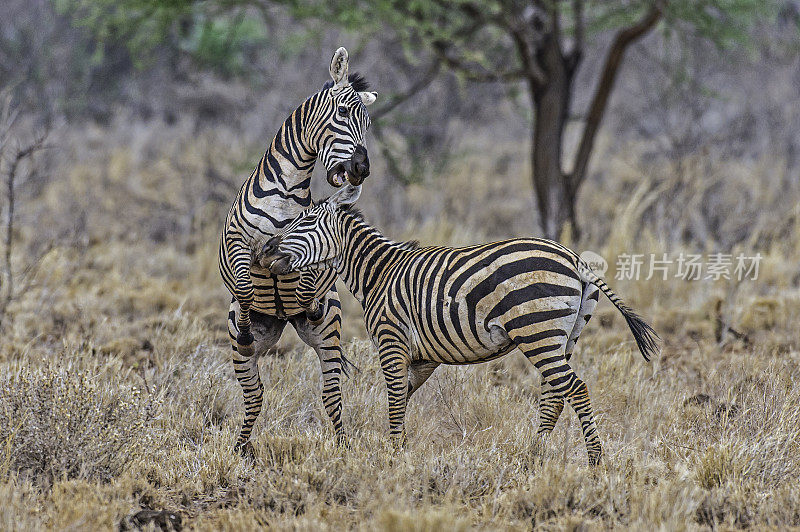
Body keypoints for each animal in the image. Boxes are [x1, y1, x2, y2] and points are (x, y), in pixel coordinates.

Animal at [219, 50, 378, 456]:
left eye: (368, 123)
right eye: (342, 112)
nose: (362, 169)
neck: (286, 190)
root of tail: (282, 322)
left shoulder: (316, 249)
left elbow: (309, 280)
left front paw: (310, 302)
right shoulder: (234, 246)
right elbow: (245, 286)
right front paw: (248, 314)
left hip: (328, 339)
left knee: (332, 395)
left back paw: (343, 448)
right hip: (244, 351)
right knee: (254, 395)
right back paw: (241, 450)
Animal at [260, 186, 660, 466]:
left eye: (303, 223)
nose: (266, 252)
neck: (379, 274)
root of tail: (576, 259)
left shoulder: (391, 340)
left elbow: (394, 397)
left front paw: (391, 456)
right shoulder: (424, 357)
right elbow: (403, 397)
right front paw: (397, 448)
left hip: (536, 332)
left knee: (575, 389)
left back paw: (594, 461)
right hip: (565, 337)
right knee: (554, 395)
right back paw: (531, 457)